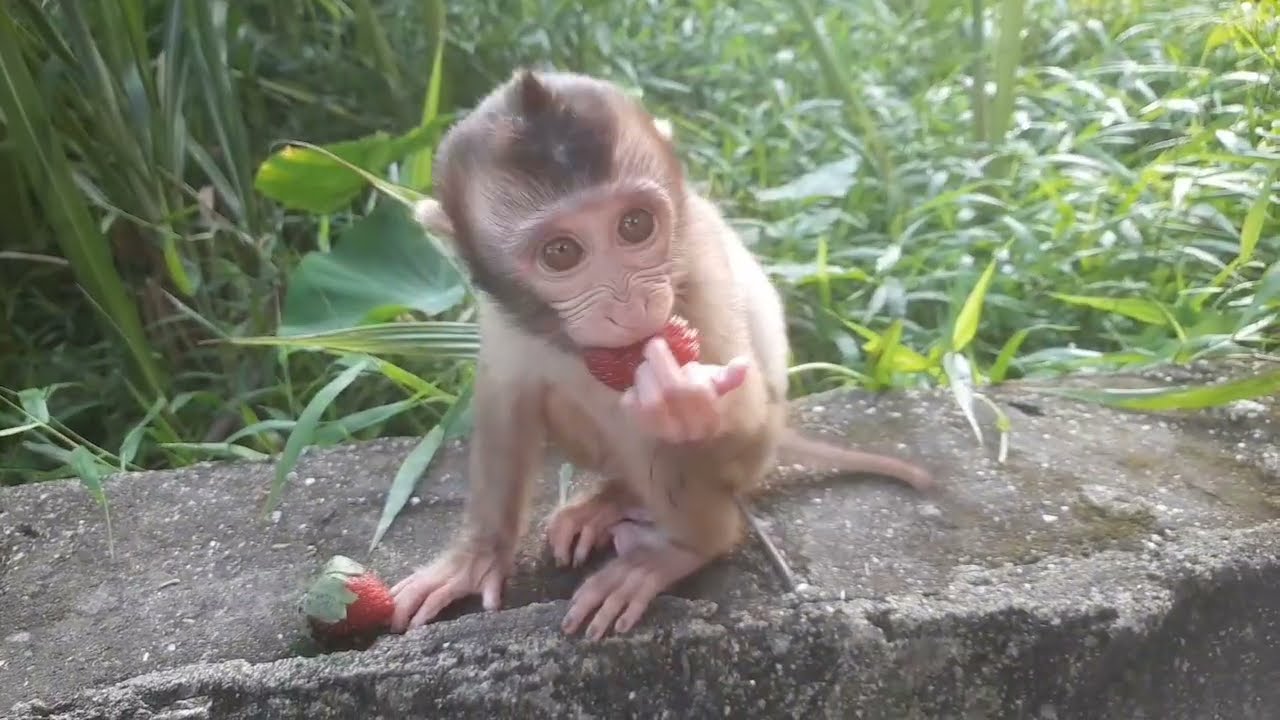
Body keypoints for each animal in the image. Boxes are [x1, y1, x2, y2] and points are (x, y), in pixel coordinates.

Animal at [388, 68, 932, 641]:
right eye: (560, 252)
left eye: (635, 225)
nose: (629, 302)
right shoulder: (499, 310)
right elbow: (505, 408)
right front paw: (475, 557)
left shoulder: (701, 263)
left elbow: (736, 410)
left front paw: (686, 402)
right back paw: (613, 499)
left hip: (746, 464)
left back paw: (679, 548)